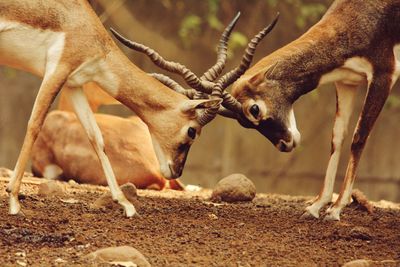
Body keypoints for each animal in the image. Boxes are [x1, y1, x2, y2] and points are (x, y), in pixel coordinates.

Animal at [231, 0, 400, 222]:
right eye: (243, 123)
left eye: (254, 109)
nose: (284, 145)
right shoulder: (346, 82)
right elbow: (337, 138)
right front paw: (316, 206)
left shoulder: (384, 75)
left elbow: (359, 137)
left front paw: (336, 209)